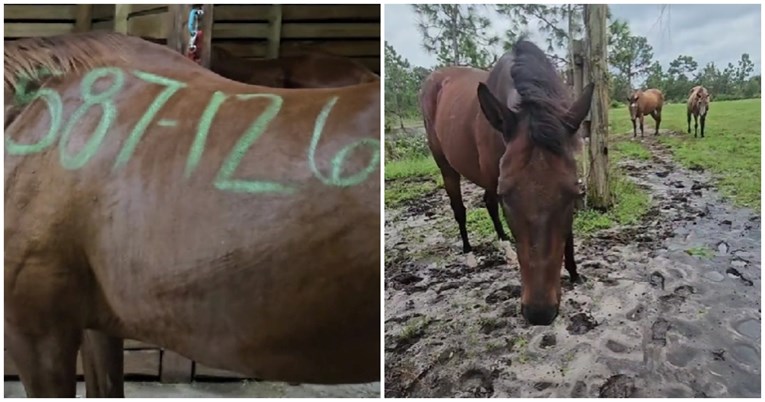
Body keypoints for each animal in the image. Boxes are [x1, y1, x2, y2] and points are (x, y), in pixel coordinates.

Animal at [418, 39, 592, 326]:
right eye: (507, 197)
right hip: (447, 166)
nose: (539, 313)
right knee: (460, 208)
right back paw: (469, 255)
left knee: (487, 203)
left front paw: (575, 273)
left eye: (572, 196)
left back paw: (505, 247)